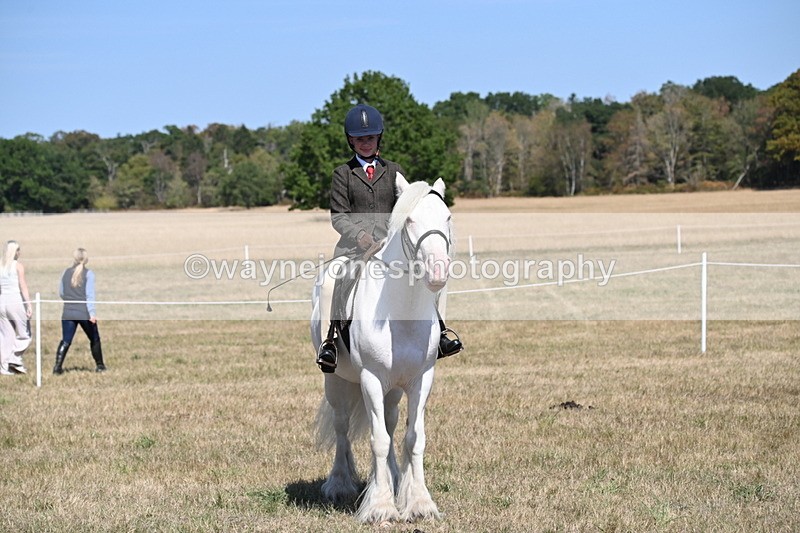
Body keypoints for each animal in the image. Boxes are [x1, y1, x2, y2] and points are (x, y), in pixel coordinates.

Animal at [310, 174, 453, 524]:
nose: (438, 272)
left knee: (389, 424)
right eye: (410, 220)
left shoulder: (420, 380)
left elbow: (412, 437)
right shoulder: (371, 380)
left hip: (393, 390)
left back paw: (393, 479)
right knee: (342, 427)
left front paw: (419, 503)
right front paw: (380, 507)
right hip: (336, 380)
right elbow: (377, 440)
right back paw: (340, 483)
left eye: (447, 217)